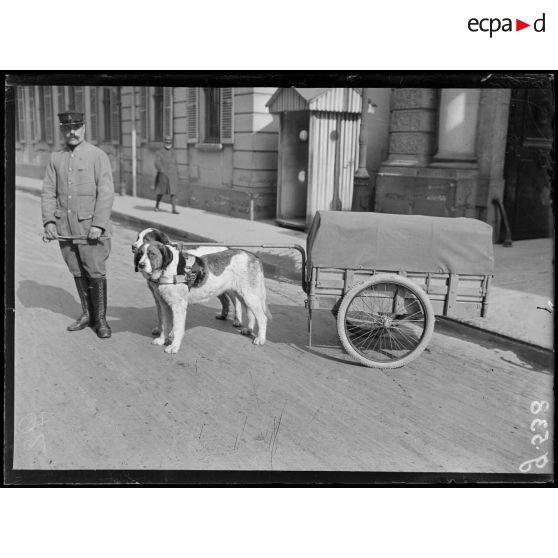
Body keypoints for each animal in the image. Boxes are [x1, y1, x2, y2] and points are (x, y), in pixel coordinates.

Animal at [136, 240, 272, 354]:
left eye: (152, 254)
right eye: (140, 253)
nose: (140, 265)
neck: (168, 270)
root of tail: (254, 256)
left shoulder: (178, 307)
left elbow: (178, 328)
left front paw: (174, 346)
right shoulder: (164, 305)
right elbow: (165, 323)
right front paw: (162, 339)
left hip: (249, 296)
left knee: (262, 318)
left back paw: (260, 338)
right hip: (244, 295)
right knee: (251, 313)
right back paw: (248, 329)